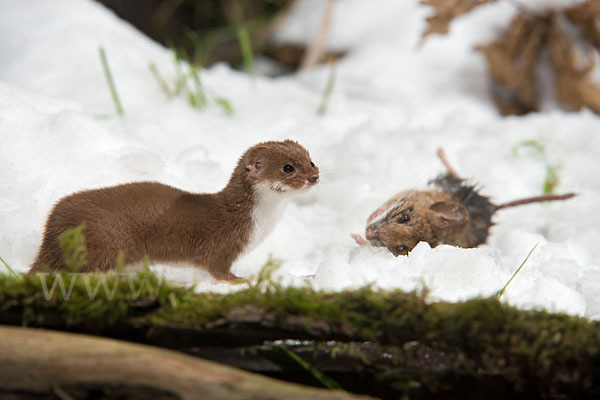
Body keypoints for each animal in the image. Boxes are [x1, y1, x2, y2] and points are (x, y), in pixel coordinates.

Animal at [29, 139, 318, 280]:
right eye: (288, 167)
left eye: (311, 161)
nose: (314, 177)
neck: (260, 223)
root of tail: (51, 232)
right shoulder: (223, 244)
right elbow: (217, 268)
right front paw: (238, 280)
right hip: (104, 241)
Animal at [352, 149, 576, 256]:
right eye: (404, 217)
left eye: (401, 247)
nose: (368, 232)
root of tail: (493, 207)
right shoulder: (408, 192)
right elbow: (383, 205)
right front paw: (367, 221)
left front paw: (358, 237)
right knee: (454, 172)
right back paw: (440, 151)